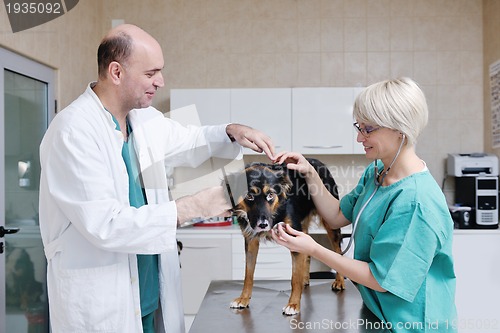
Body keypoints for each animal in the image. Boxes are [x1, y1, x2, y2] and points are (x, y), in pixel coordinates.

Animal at [226, 158, 344, 314]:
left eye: (270, 195)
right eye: (249, 196)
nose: (262, 225)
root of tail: (318, 161)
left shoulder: (294, 238)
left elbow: (294, 278)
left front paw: (293, 304)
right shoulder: (250, 241)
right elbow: (248, 274)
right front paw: (243, 298)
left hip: (330, 221)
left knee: (338, 251)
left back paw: (339, 281)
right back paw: (305, 279)